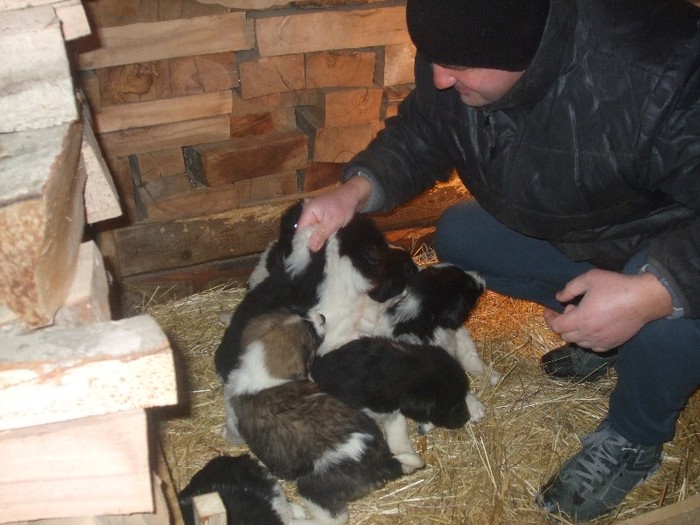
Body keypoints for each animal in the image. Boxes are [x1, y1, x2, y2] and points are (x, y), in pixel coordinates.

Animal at [221, 310, 412, 524]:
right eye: (308, 327)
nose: (321, 316)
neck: (263, 368)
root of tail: (382, 462)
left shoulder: (234, 420)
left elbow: (231, 433)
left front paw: (223, 433)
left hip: (312, 487)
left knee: (333, 519)